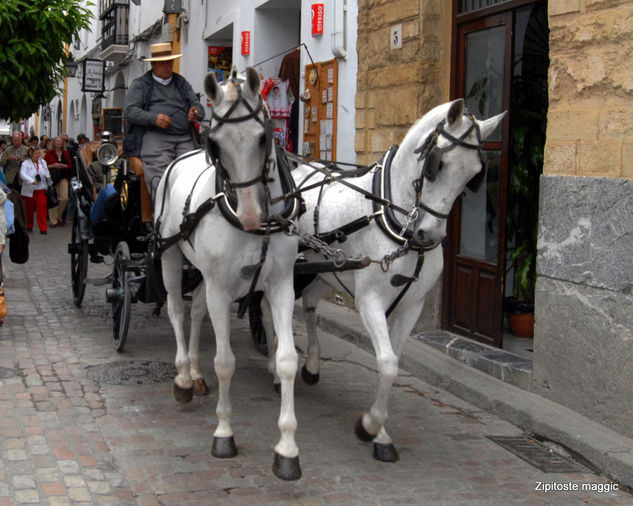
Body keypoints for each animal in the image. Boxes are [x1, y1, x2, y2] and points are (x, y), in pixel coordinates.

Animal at [153, 69, 302, 480]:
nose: (250, 215)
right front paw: (224, 433)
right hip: (169, 255)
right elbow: (225, 362)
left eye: (264, 137)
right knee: (176, 310)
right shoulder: (221, 288)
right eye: (215, 145)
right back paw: (183, 377)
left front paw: (287, 449)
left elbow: (287, 360)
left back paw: (195, 372)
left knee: (197, 310)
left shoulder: (280, 286)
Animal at [262, 98, 504, 462]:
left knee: (310, 307)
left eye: (474, 174)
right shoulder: (369, 300)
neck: (398, 219)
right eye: (437, 165)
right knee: (270, 311)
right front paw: (369, 426)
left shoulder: (412, 305)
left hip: (322, 270)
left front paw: (380, 434)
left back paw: (313, 364)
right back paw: (275, 367)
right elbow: (388, 363)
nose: (429, 235)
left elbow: (393, 363)